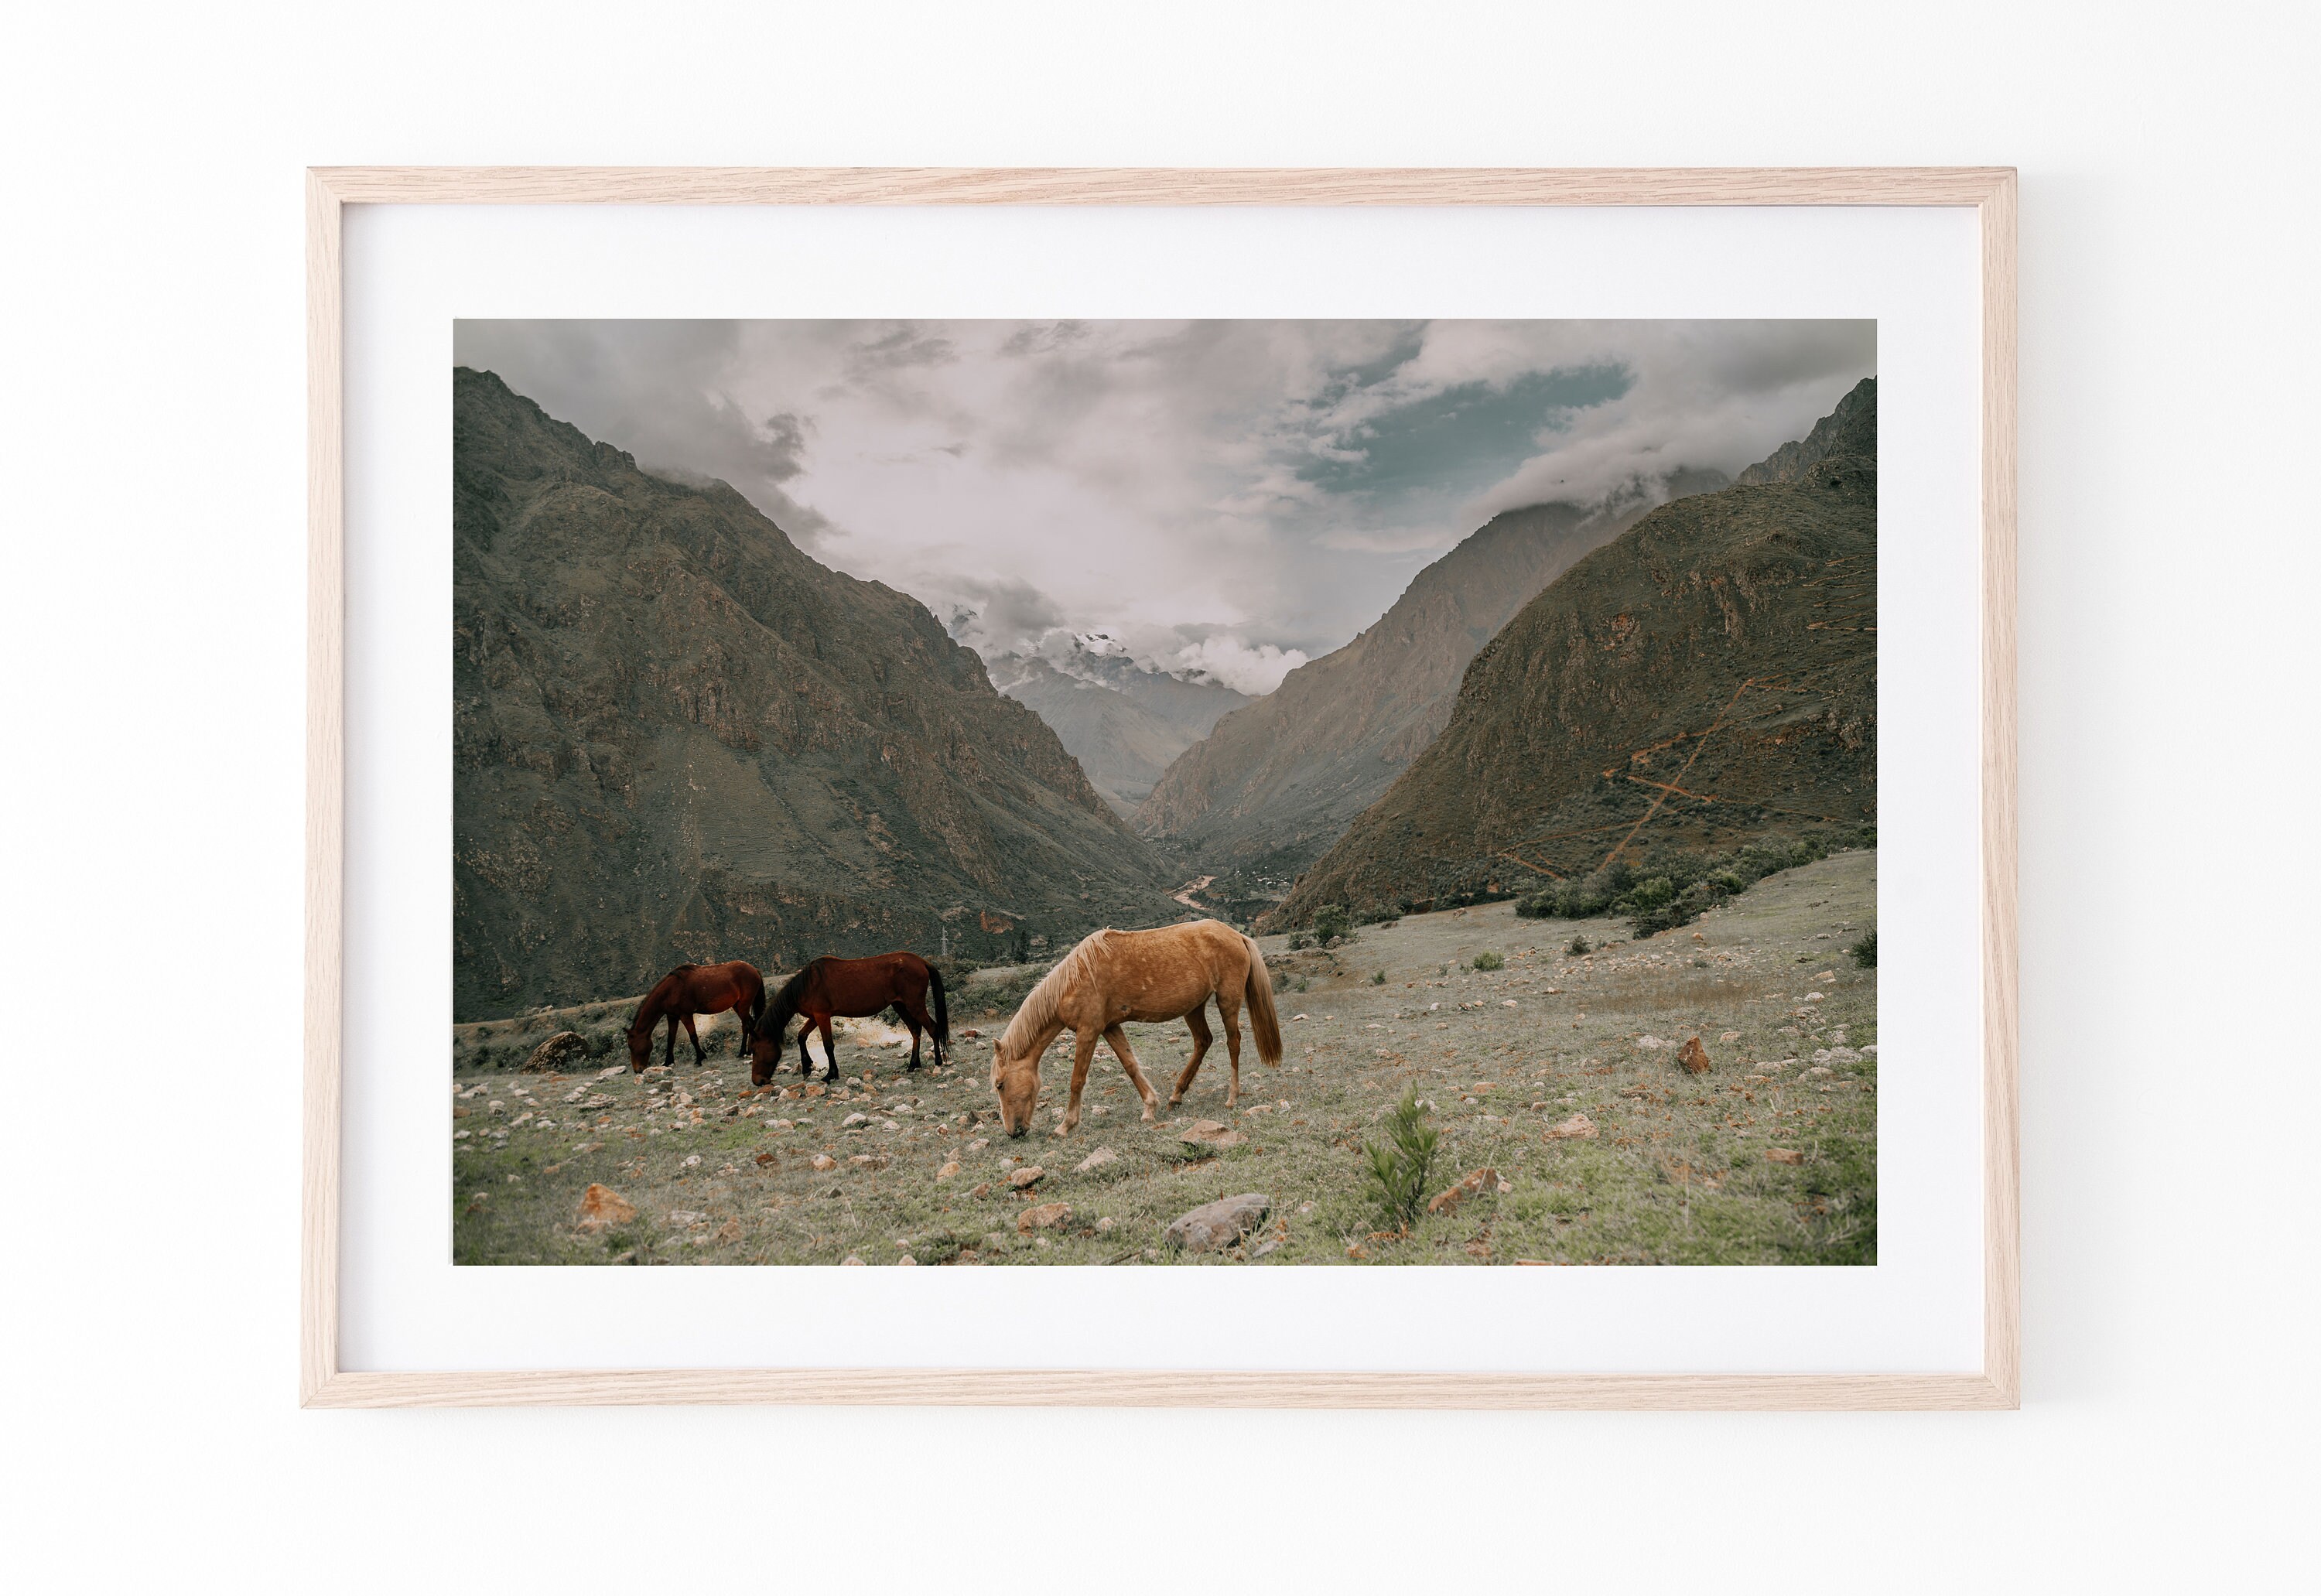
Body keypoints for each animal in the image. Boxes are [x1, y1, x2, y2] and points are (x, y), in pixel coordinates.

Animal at [626, 961, 766, 1072]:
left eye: (631, 1046)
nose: (637, 1070)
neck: (670, 990)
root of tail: (754, 970)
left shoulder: (685, 1015)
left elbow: (693, 1037)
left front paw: (699, 1059)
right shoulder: (672, 1017)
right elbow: (671, 1040)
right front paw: (668, 1062)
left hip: (743, 1006)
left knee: (746, 1026)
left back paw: (742, 1052)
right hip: (738, 1007)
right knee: (751, 1024)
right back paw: (749, 1051)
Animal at [750, 952, 949, 1087]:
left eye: (755, 1051)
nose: (757, 1081)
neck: (808, 984)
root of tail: (921, 961)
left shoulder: (822, 1016)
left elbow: (828, 1046)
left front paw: (830, 1074)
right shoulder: (815, 1017)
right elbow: (801, 1037)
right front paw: (807, 1068)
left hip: (914, 1005)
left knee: (933, 1028)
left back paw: (938, 1062)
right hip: (900, 1006)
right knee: (915, 1030)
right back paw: (913, 1065)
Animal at [989, 919, 1281, 1139]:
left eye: (1000, 1085)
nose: (1013, 1132)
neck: (1076, 979)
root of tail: (1237, 936)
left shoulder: (1088, 1030)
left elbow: (1077, 1079)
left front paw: (1065, 1126)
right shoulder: (1110, 1027)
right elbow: (1130, 1065)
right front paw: (1150, 1107)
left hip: (1227, 1000)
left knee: (1233, 1043)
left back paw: (1232, 1097)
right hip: (1194, 1008)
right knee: (1203, 1041)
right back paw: (1176, 1096)